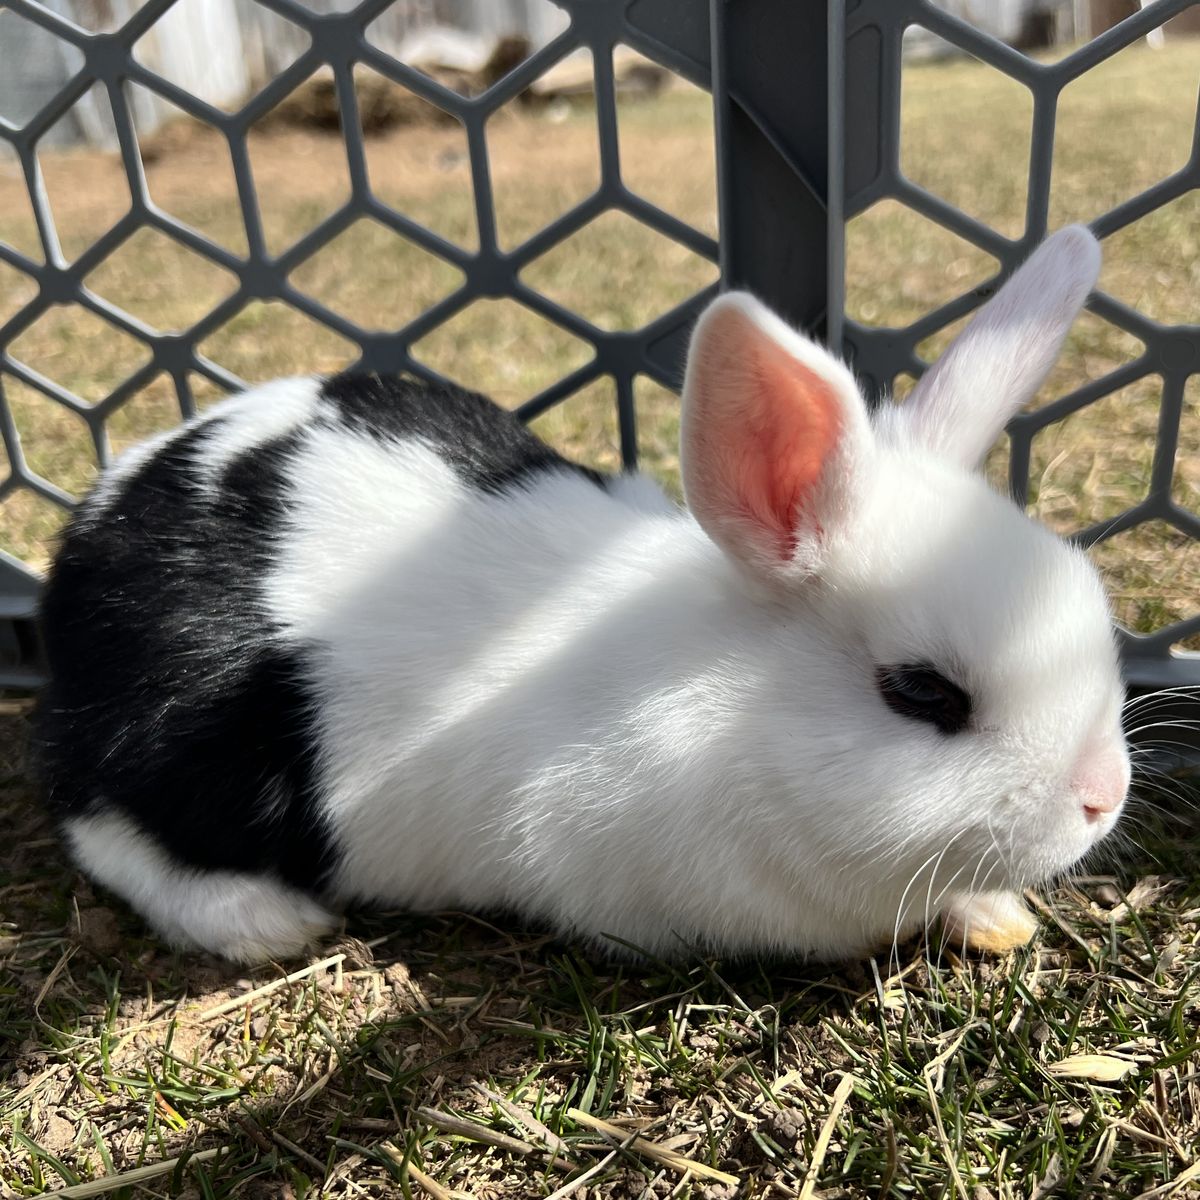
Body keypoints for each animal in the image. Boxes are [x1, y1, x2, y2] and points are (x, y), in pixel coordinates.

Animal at [32, 224, 1130, 965]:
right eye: (923, 693)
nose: (1103, 798)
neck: (730, 708)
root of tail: (100, 512)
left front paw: (997, 918)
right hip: (173, 750)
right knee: (99, 830)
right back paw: (264, 923)